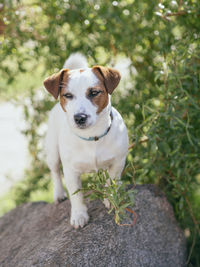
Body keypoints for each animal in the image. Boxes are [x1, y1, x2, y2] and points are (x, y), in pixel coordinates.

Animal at [43, 53, 128, 229]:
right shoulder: (71, 171)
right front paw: (79, 215)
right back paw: (59, 193)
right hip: (52, 152)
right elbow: (76, 195)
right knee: (55, 172)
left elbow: (111, 182)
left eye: (94, 92)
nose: (79, 117)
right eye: (68, 95)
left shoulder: (117, 162)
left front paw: (111, 199)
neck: (91, 137)